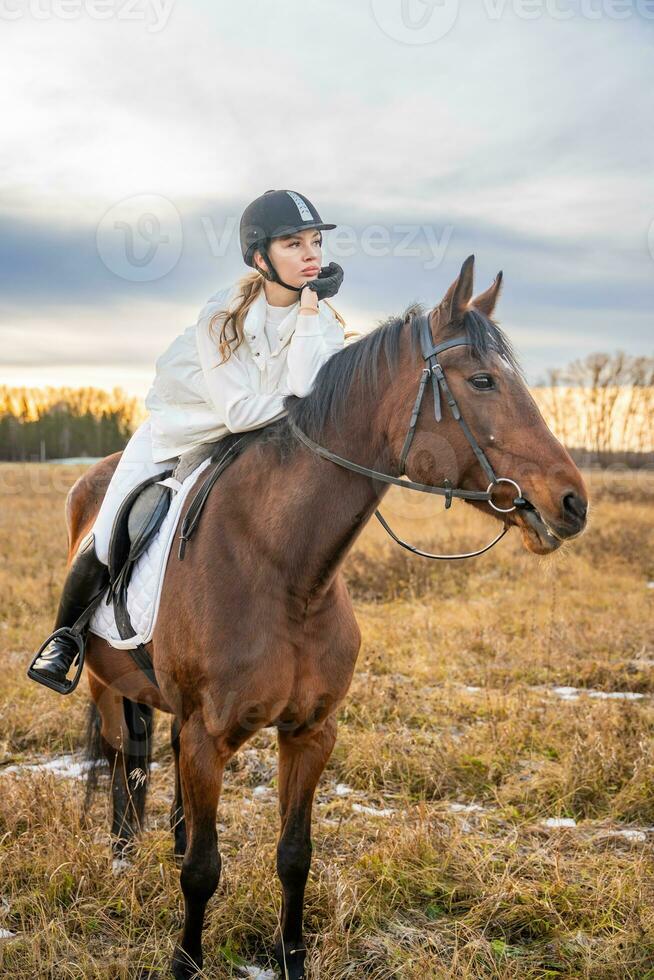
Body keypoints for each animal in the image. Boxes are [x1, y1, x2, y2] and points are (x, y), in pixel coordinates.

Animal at [72, 256, 588, 976]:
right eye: (482, 380)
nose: (573, 502)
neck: (285, 572)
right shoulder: (210, 735)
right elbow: (204, 869)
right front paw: (186, 960)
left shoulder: (311, 732)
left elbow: (295, 856)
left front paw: (291, 955)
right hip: (106, 688)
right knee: (126, 769)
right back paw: (122, 865)